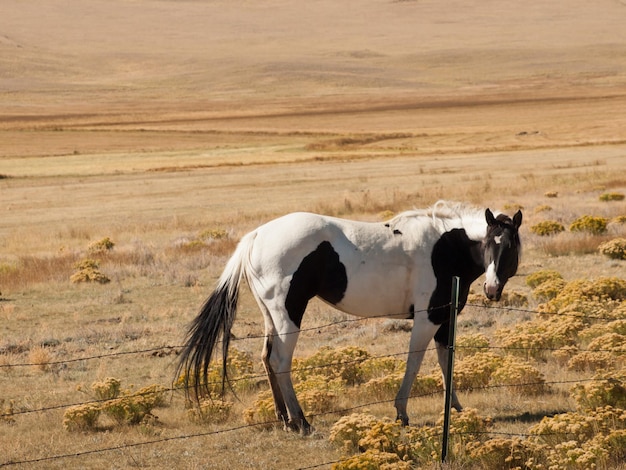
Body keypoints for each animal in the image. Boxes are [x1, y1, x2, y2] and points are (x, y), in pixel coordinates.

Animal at [177, 201, 520, 434]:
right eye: (488, 244)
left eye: (511, 247)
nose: (492, 289)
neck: (445, 247)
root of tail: (257, 235)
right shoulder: (428, 319)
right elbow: (415, 363)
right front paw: (402, 413)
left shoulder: (444, 320)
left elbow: (446, 362)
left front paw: (458, 411)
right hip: (289, 315)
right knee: (280, 362)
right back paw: (301, 422)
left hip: (270, 317)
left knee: (266, 358)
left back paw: (284, 419)